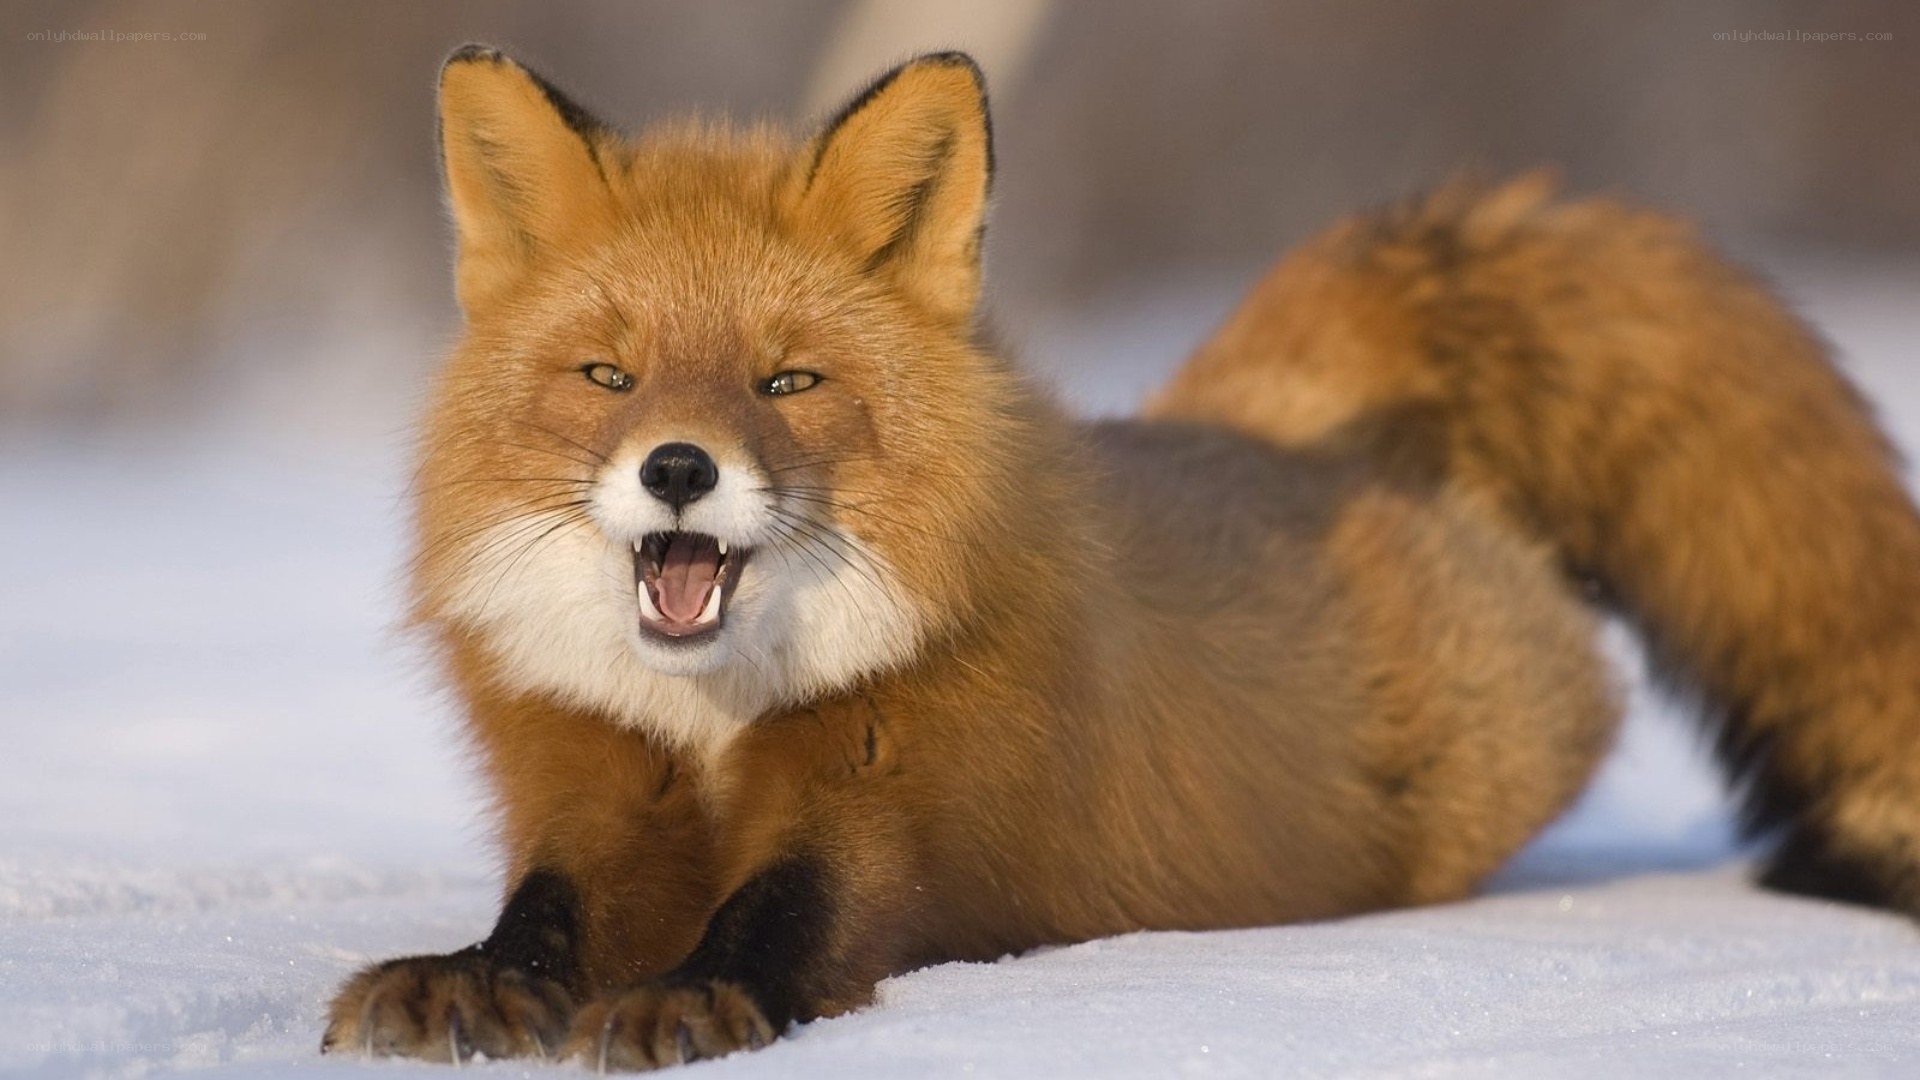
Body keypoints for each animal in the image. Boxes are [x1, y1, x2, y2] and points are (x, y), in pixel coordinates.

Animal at [323, 45, 1920, 1069]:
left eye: (787, 383)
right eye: (608, 376)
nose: (676, 467)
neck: (716, 720)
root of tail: (1272, 429)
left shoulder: (901, 798)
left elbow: (786, 915)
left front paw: (693, 1001)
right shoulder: (591, 780)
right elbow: (546, 912)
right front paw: (472, 984)